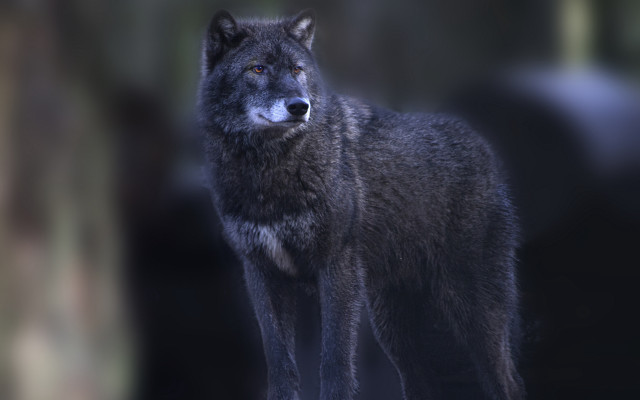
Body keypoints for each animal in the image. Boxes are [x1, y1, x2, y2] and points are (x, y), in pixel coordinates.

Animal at [197, 9, 525, 400]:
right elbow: (279, 363)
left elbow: (335, 361)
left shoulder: (336, 266)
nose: (300, 107)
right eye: (258, 68)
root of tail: (481, 144)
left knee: (508, 381)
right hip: (395, 330)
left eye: (297, 69)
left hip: (472, 314)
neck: (269, 170)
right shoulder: (261, 272)